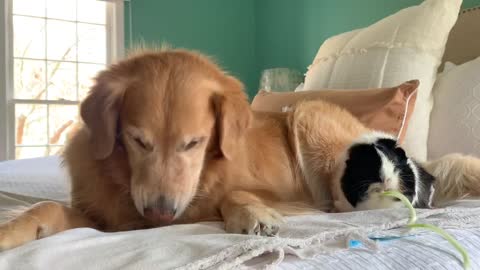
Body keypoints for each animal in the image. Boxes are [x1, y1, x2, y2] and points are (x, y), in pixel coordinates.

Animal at [0, 49, 480, 251]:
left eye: (194, 143)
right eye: (137, 140)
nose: (159, 215)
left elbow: (236, 195)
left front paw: (252, 215)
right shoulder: (107, 219)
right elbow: (45, 207)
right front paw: (12, 229)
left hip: (309, 118)